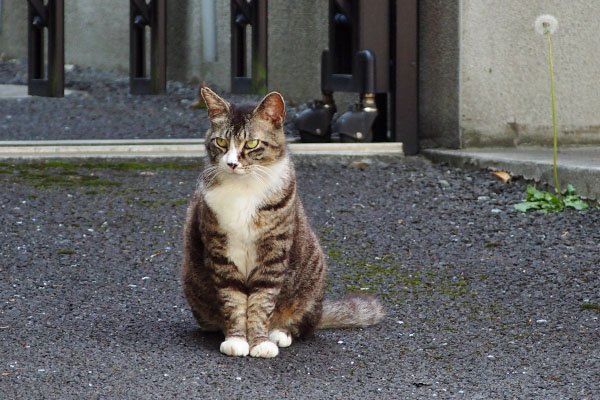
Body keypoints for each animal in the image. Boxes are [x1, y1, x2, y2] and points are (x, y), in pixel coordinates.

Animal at [180, 88, 384, 360]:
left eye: (251, 144)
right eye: (221, 142)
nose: (232, 163)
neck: (243, 189)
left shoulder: (273, 252)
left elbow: (262, 300)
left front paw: (260, 342)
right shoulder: (220, 251)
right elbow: (232, 299)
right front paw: (237, 339)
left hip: (312, 278)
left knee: (305, 324)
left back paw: (280, 332)